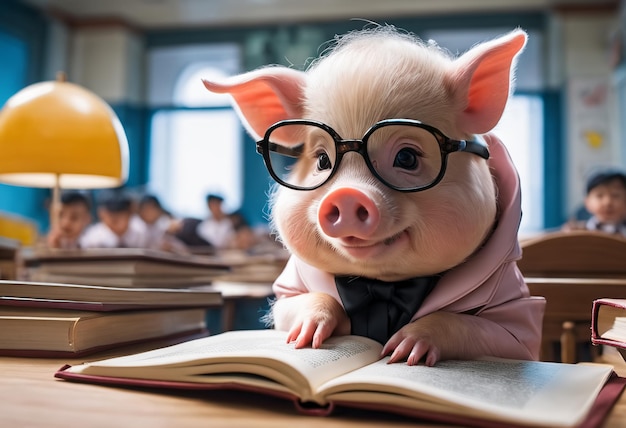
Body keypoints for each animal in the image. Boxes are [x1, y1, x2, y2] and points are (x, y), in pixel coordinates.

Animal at [202, 25, 544, 366]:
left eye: (407, 157)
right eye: (322, 160)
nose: (347, 195)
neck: (383, 286)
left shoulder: (519, 316)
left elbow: (485, 331)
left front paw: (401, 352)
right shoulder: (286, 292)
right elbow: (300, 305)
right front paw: (304, 339)